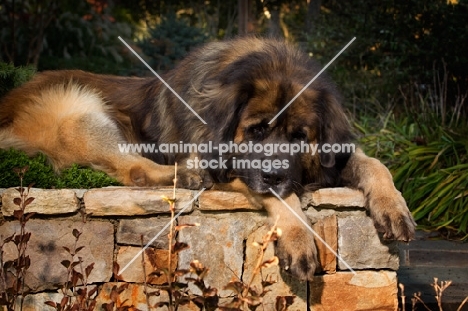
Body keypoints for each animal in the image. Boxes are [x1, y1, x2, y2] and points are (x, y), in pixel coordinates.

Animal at [0, 37, 414, 282]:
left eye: (299, 137)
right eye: (256, 131)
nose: (274, 174)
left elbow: (374, 163)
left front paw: (394, 206)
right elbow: (283, 199)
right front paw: (298, 238)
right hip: (79, 107)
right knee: (135, 170)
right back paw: (188, 173)